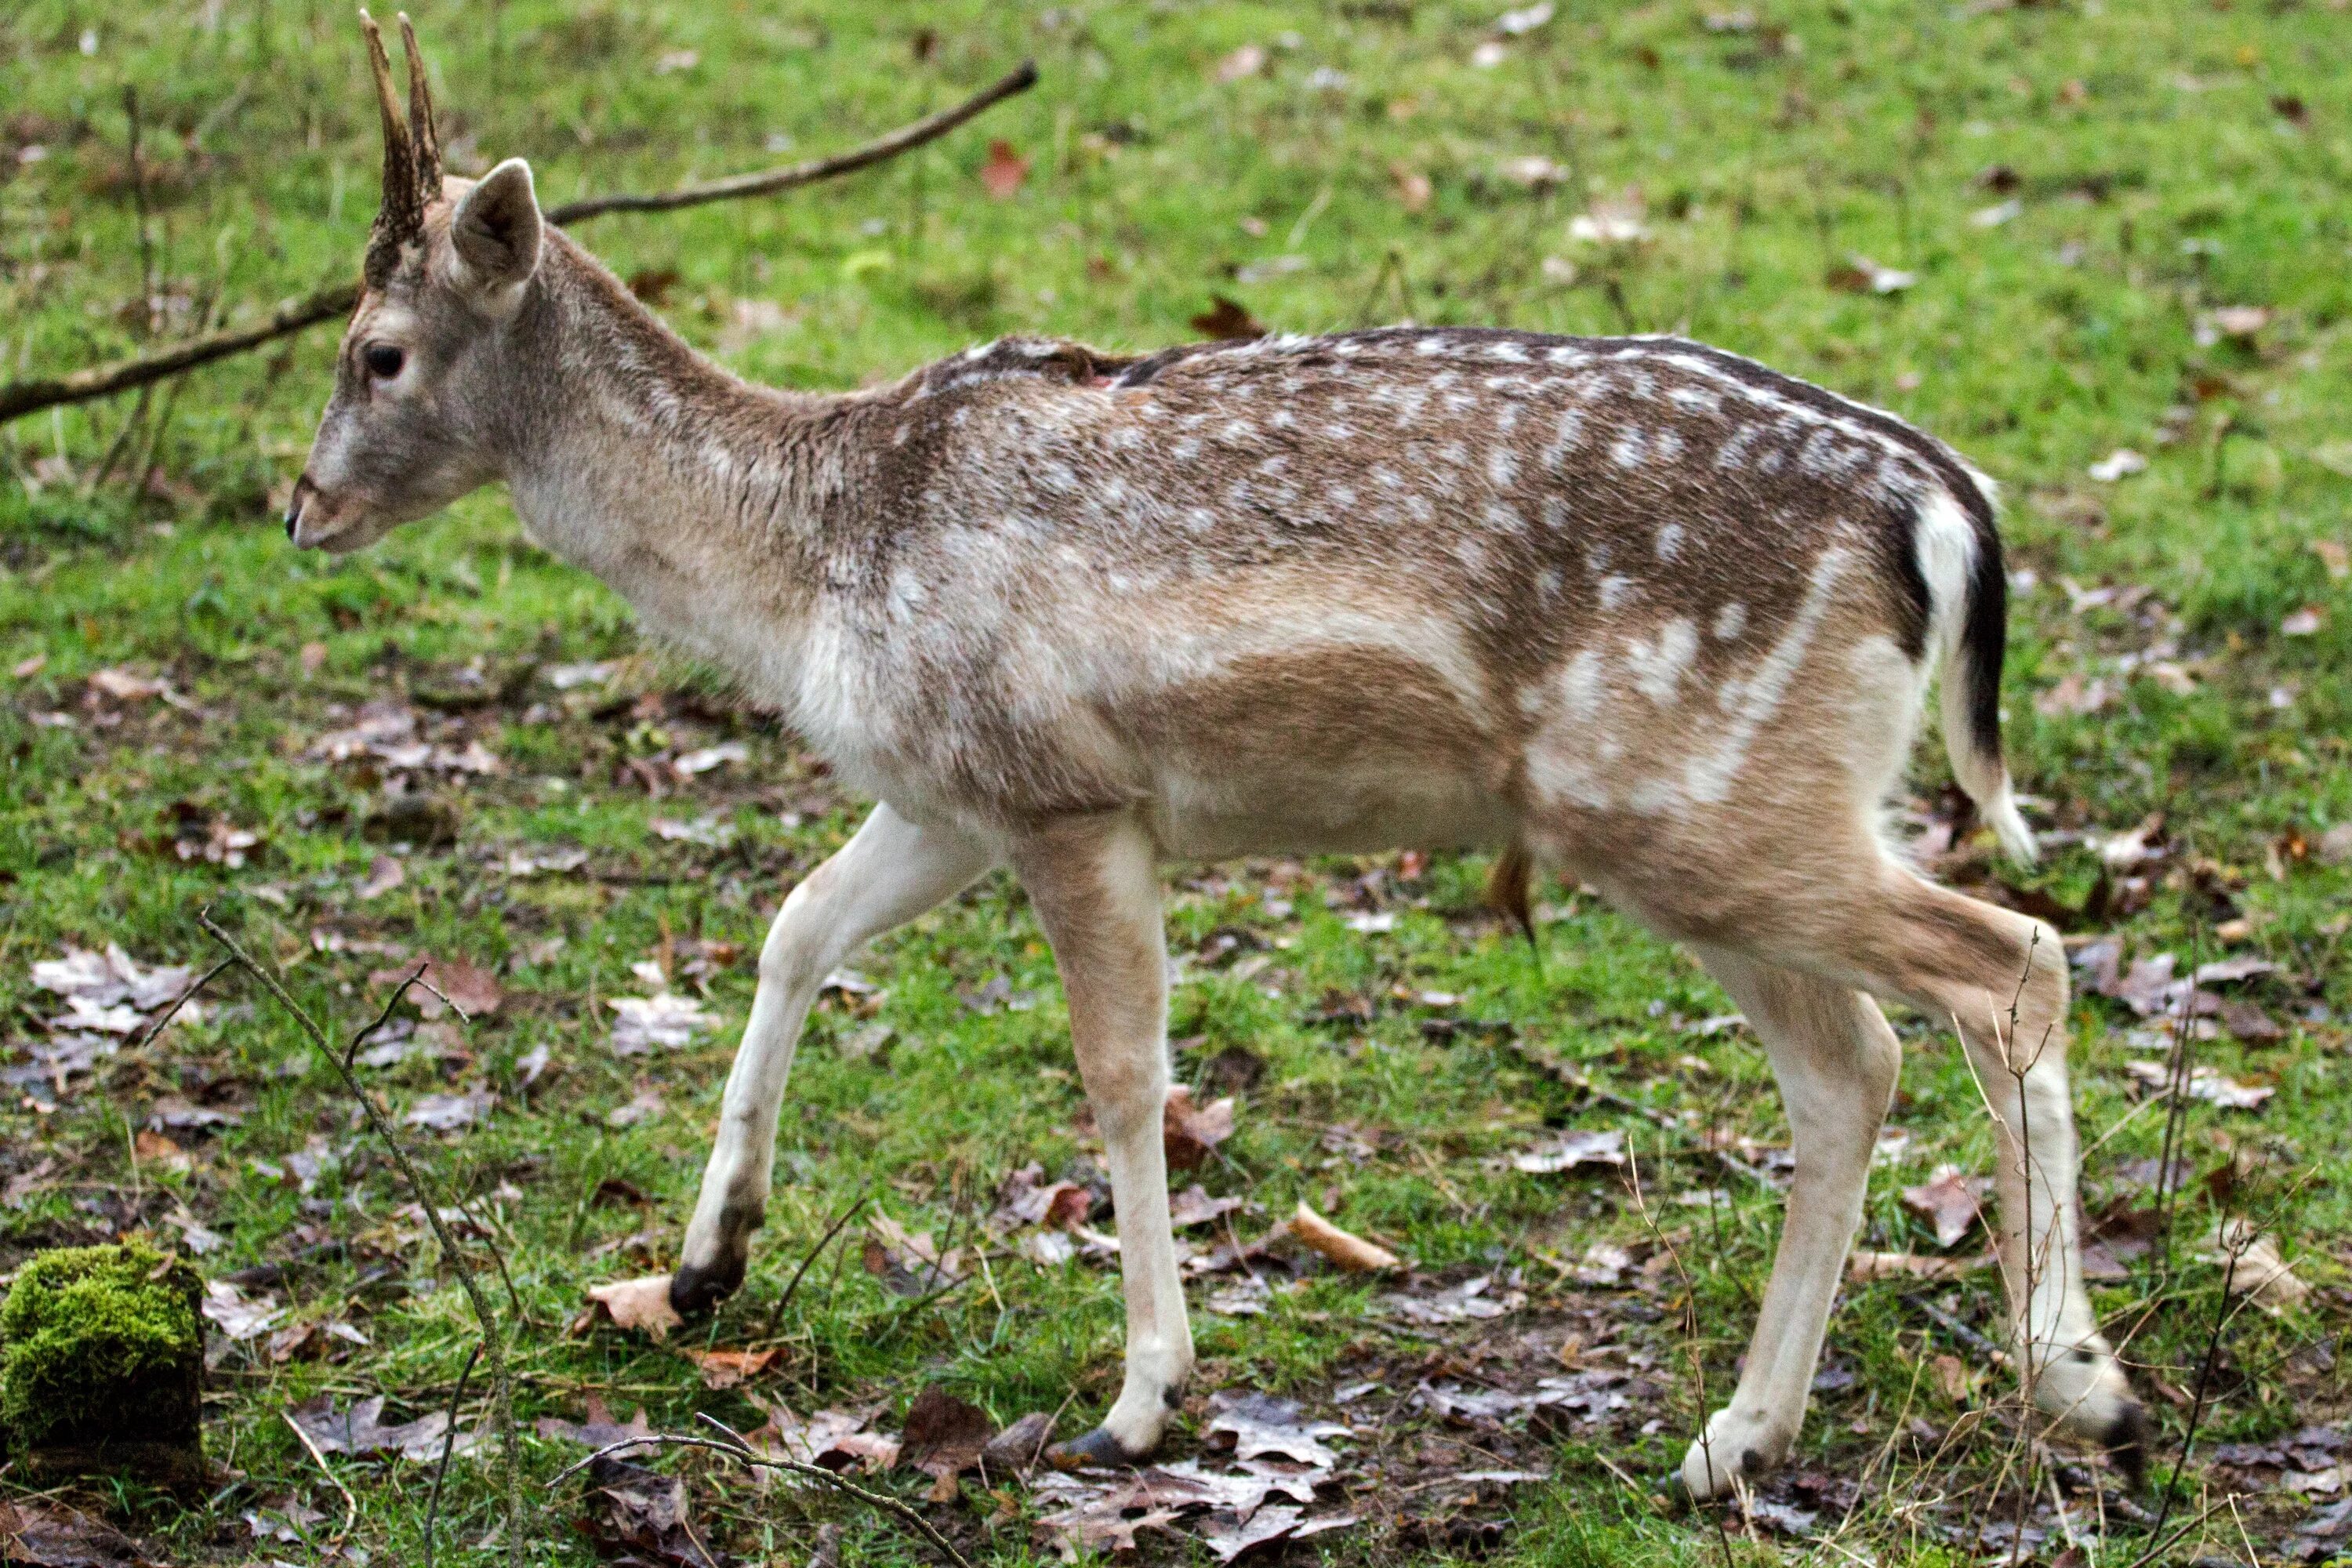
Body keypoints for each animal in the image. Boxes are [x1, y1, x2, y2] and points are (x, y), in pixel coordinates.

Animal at [289, 18, 2154, 1504]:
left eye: (378, 352)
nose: (299, 509)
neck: (817, 567)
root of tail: (1947, 512)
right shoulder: (951, 794)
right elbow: (795, 926)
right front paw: (700, 1265)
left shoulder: (1069, 794)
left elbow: (1123, 1077)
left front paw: (1140, 1399)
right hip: (1712, 815)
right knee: (1854, 1065)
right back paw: (1738, 1438)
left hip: (1693, 803)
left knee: (2011, 961)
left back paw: (2078, 1380)